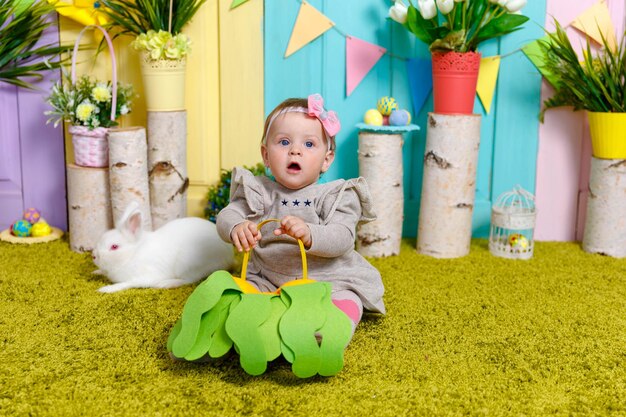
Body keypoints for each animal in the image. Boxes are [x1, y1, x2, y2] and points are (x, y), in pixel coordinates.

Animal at [94, 202, 235, 292]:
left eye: (114, 247)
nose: (94, 256)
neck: (132, 255)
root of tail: (229, 256)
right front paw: (96, 272)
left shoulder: (147, 275)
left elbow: (127, 283)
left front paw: (106, 289)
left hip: (187, 264)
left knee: (189, 280)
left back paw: (166, 284)